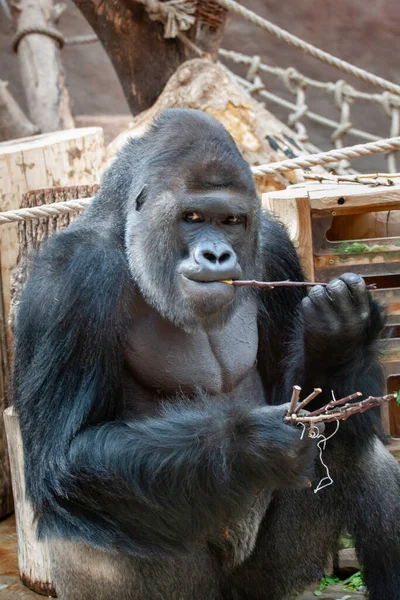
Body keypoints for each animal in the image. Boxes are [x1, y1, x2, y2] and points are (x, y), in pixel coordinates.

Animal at [12, 109, 400, 600]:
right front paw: (249, 444)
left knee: (356, 449)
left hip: (267, 583)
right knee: (87, 518)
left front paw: (339, 336)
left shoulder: (275, 247)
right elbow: (62, 457)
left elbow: (318, 403)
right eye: (192, 217)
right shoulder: (67, 281)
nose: (217, 255)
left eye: (232, 220)